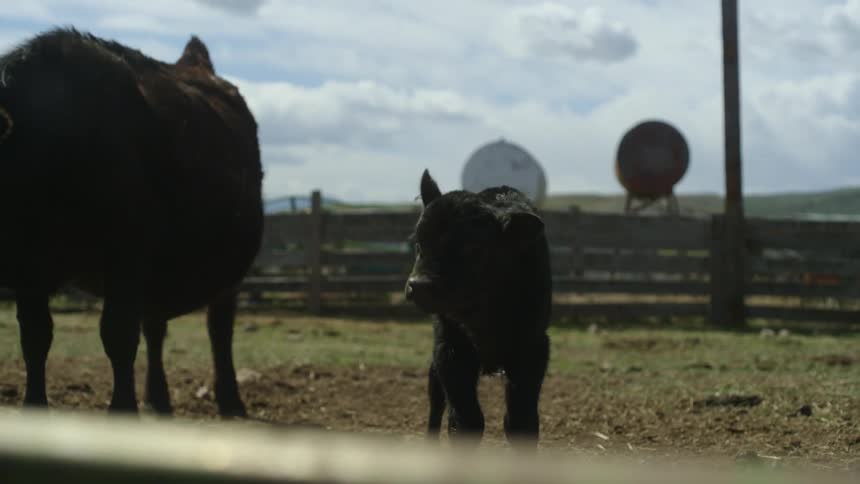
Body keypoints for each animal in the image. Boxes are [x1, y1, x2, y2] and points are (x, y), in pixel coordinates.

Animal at [0, 28, 264, 416]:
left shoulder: (125, 257)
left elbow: (118, 334)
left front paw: (122, 409)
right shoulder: (28, 266)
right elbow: (35, 336)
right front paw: (34, 407)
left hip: (228, 271)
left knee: (219, 329)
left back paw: (230, 399)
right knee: (155, 326)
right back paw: (157, 397)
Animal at [404, 170, 552, 449]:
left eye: (472, 248)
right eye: (418, 243)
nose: (418, 286)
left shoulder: (532, 348)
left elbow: (521, 422)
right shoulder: (451, 348)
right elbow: (466, 421)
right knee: (436, 402)